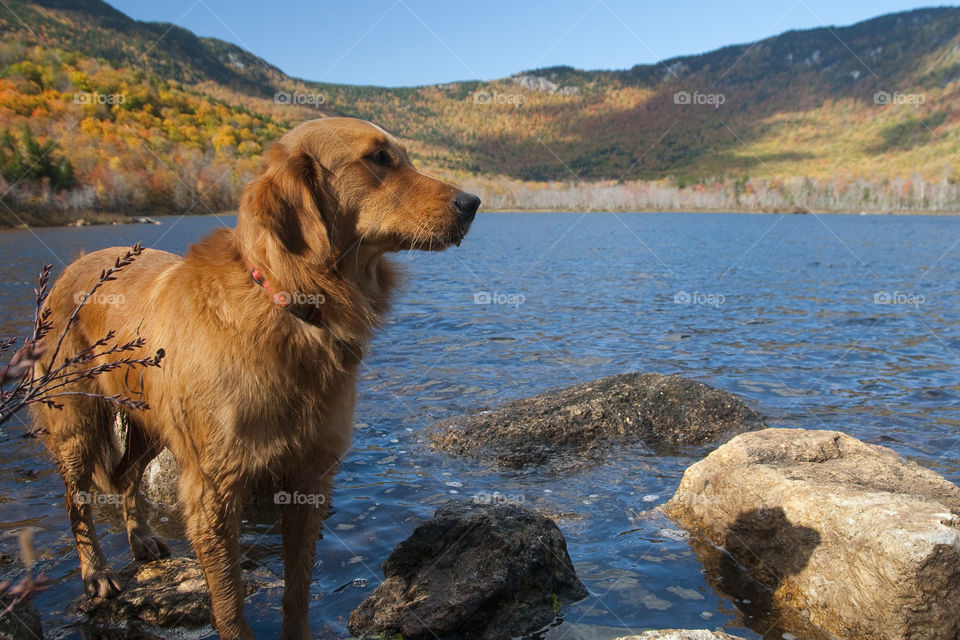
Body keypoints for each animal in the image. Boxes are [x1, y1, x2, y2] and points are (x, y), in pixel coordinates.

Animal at [31, 117, 480, 636]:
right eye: (378, 158)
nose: (472, 203)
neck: (291, 302)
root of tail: (71, 269)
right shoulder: (213, 488)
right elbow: (229, 600)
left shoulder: (310, 475)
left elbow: (298, 590)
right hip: (78, 422)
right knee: (77, 499)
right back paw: (96, 573)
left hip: (151, 425)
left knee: (126, 477)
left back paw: (141, 539)